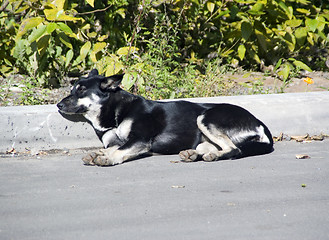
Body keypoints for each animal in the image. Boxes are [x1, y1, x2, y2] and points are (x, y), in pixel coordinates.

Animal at [56, 69, 272, 166]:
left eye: (81, 90)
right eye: (72, 89)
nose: (58, 105)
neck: (117, 111)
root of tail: (260, 123)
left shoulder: (140, 140)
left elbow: (119, 151)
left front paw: (106, 159)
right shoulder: (120, 142)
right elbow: (114, 147)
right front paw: (98, 154)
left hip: (206, 118)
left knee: (234, 149)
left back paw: (211, 156)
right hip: (204, 135)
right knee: (217, 147)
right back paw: (193, 154)